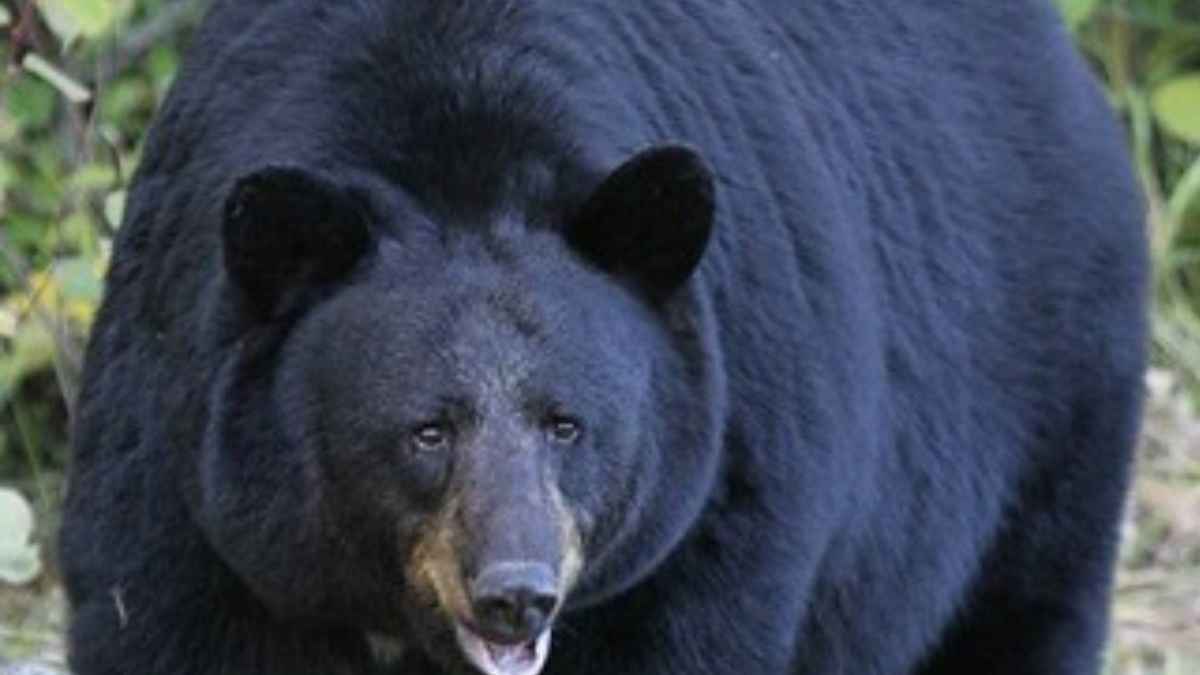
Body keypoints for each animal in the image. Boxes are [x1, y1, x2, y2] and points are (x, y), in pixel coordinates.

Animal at [59, 1, 1148, 674]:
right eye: (427, 430)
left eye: (566, 424)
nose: (517, 594)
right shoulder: (185, 474)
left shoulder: (718, 502)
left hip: (1050, 402)